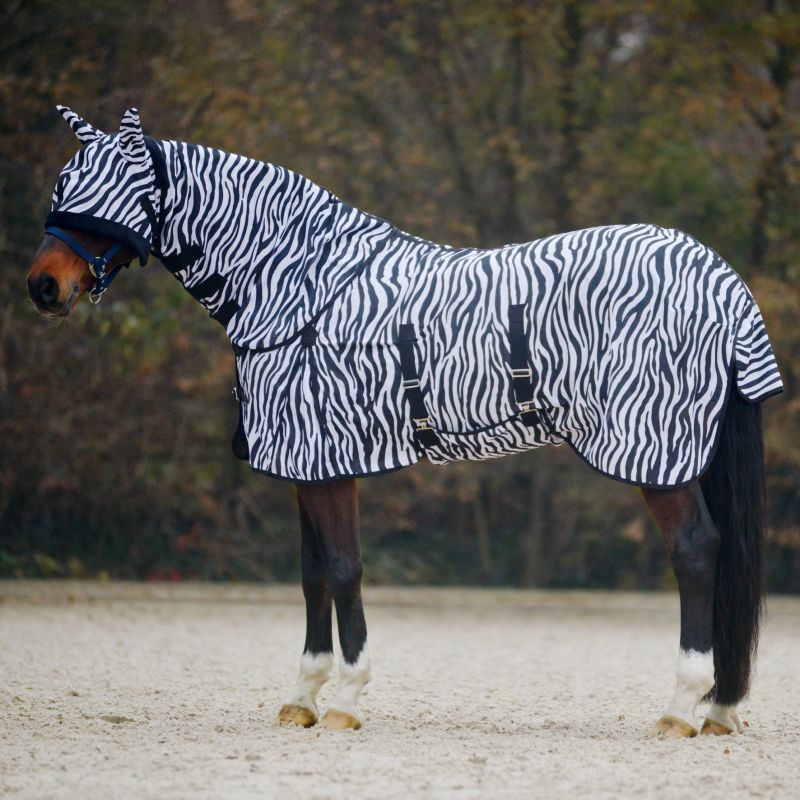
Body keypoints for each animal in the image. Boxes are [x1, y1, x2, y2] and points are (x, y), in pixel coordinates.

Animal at [28, 106, 783, 737]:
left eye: (108, 193)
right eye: (64, 181)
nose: (43, 287)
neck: (300, 286)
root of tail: (719, 279)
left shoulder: (329, 459)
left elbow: (343, 568)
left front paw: (345, 701)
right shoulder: (307, 464)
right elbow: (312, 571)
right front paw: (301, 698)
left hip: (659, 452)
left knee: (696, 552)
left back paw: (682, 708)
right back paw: (719, 709)